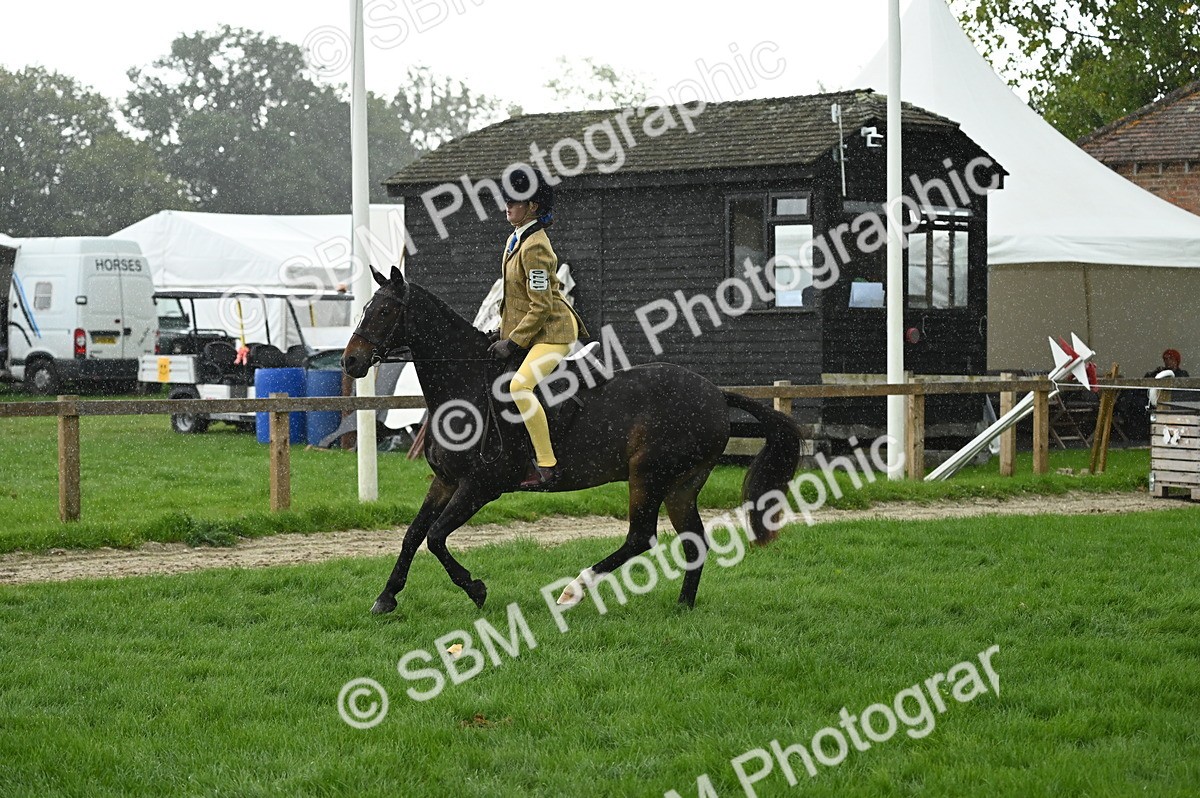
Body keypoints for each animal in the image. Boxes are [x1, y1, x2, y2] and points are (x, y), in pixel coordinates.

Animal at [340, 267, 804, 615]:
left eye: (384, 311)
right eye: (366, 308)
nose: (350, 361)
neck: (465, 386)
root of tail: (715, 394)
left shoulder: (480, 486)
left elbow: (436, 537)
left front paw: (476, 589)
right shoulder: (446, 481)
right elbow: (413, 535)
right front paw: (386, 597)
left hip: (648, 475)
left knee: (641, 537)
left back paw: (574, 590)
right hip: (681, 484)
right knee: (693, 540)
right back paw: (682, 607)